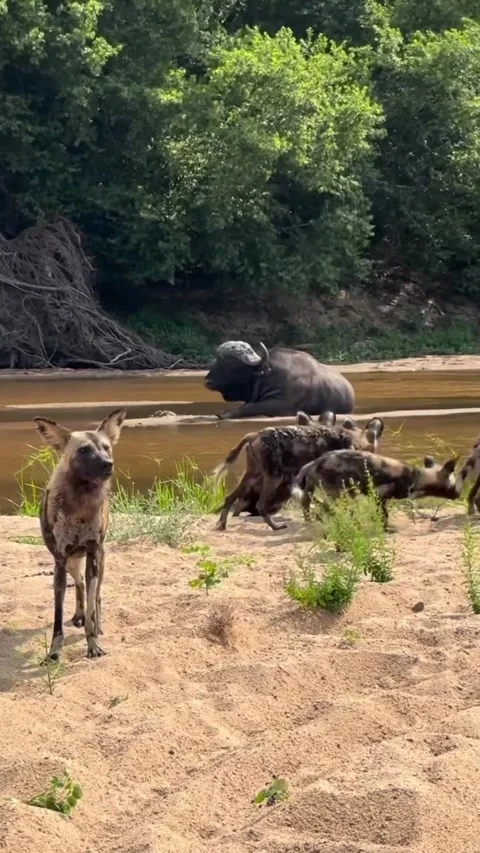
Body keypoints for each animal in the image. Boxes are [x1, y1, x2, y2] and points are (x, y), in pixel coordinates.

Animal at [204, 341, 354, 419]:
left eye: (229, 364)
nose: (207, 381)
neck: (268, 375)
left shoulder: (282, 406)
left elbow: (249, 406)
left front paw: (226, 413)